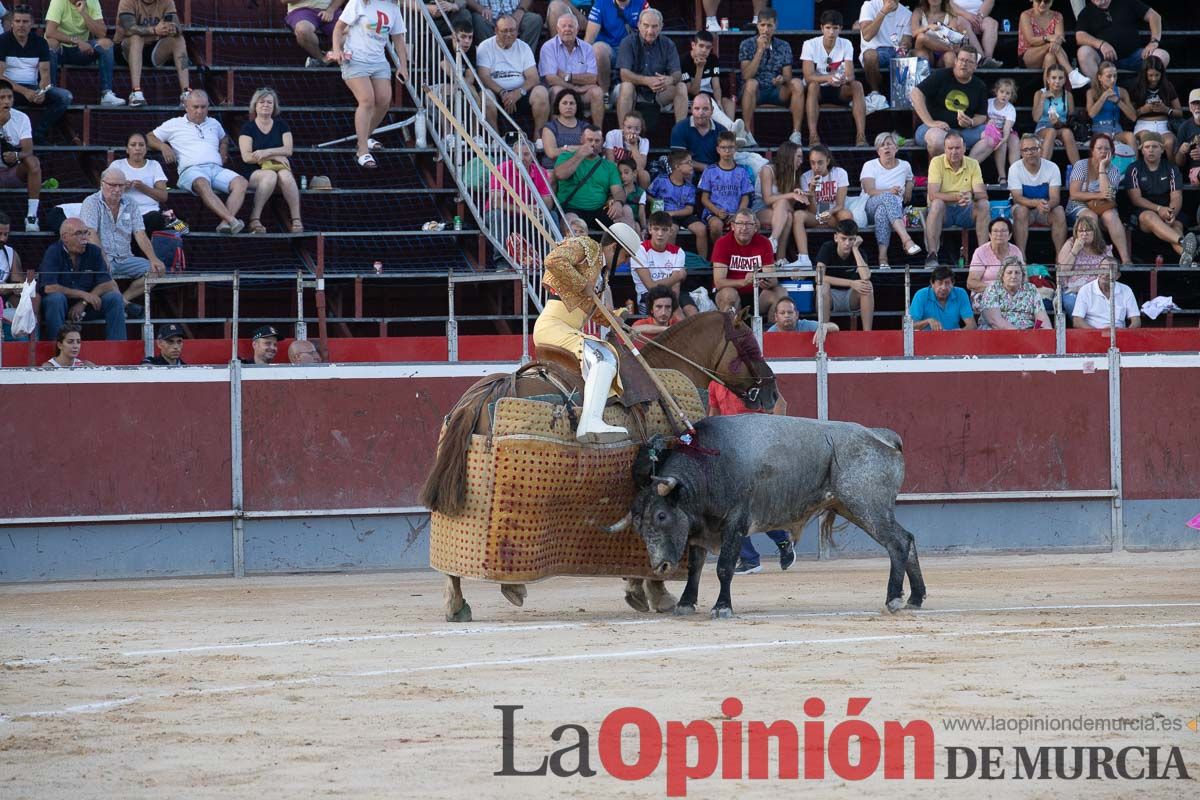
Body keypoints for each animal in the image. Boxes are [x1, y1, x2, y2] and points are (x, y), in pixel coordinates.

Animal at [422, 309, 777, 623]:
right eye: (750, 343)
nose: (772, 393)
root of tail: (485, 392)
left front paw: (638, 591)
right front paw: (658, 593)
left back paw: (457, 604)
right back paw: (508, 588)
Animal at [628, 412, 926, 618]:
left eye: (661, 516)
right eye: (639, 524)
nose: (660, 567)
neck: (709, 466)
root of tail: (882, 436)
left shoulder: (735, 524)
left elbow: (724, 567)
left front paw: (722, 607)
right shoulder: (701, 528)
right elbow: (695, 567)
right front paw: (686, 603)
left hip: (868, 508)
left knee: (898, 542)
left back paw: (894, 599)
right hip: (853, 508)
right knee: (908, 539)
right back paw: (915, 598)